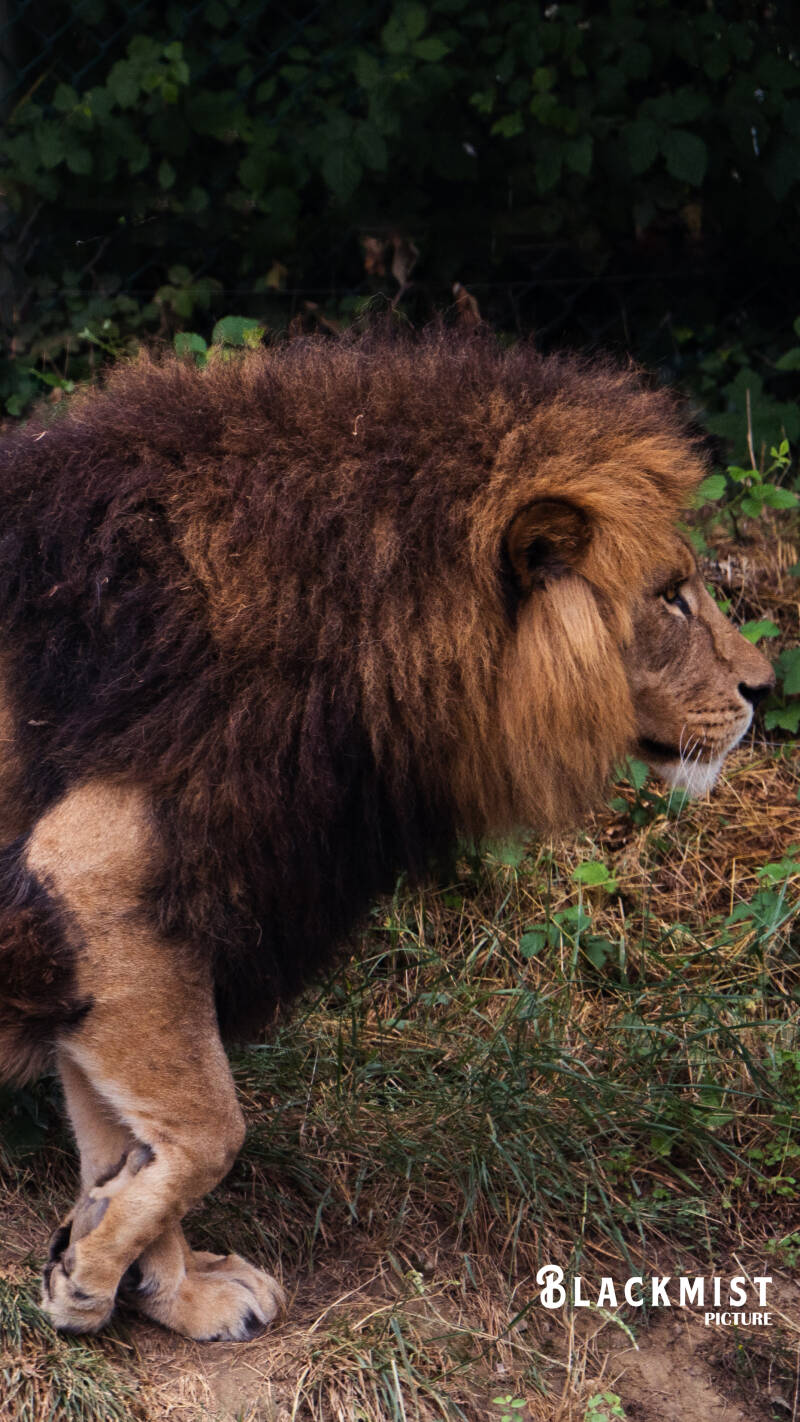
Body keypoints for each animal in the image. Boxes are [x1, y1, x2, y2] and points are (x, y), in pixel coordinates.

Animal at [0, 330, 773, 1341]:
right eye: (671, 597)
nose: (766, 690)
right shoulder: (95, 872)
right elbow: (209, 1128)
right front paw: (91, 1278)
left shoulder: (130, 922)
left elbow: (127, 1135)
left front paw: (150, 1281)